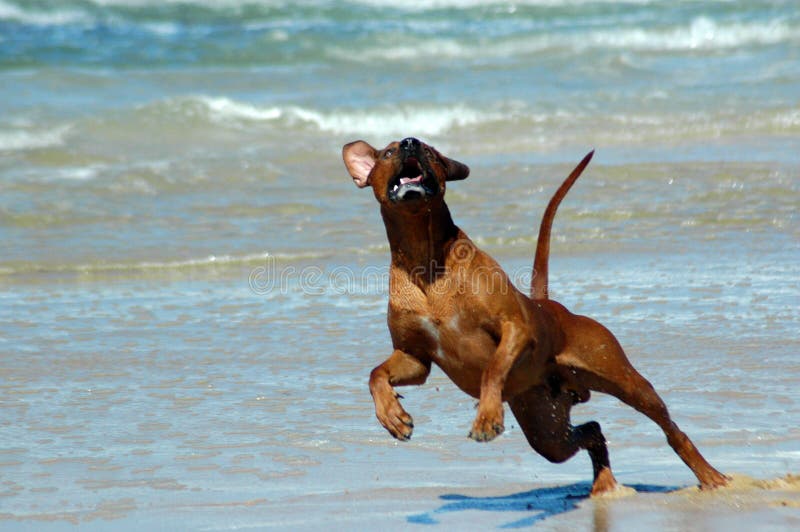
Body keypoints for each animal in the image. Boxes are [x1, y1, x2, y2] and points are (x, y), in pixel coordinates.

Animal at [340, 137, 728, 494]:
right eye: (388, 152)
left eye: (430, 151)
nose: (410, 143)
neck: (425, 261)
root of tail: (550, 306)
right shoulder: (414, 355)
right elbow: (376, 374)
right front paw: (391, 415)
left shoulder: (516, 327)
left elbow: (493, 370)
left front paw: (487, 417)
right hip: (545, 424)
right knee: (590, 430)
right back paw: (604, 483)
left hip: (623, 378)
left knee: (671, 429)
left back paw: (710, 476)